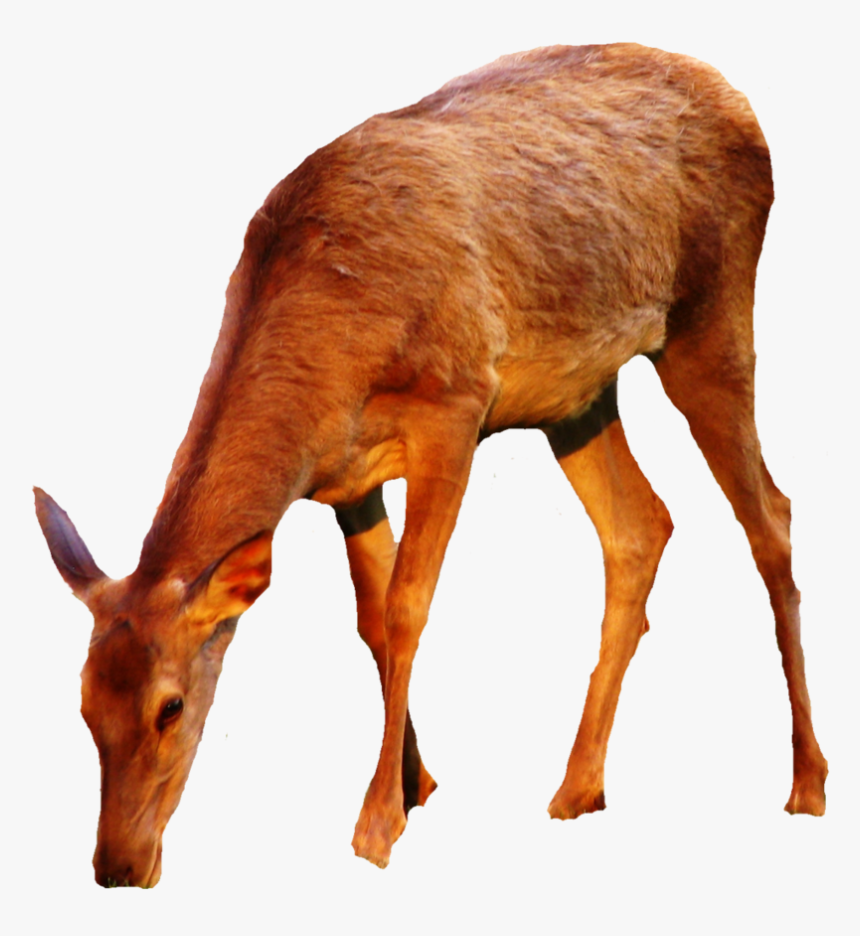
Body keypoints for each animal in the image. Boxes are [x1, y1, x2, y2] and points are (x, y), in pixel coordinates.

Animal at [35, 43, 828, 887]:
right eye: (83, 703)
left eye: (171, 706)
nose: (116, 866)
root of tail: (742, 104)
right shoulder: (347, 483)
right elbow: (371, 621)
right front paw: (417, 785)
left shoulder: (455, 402)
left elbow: (409, 605)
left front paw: (377, 822)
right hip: (577, 399)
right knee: (642, 525)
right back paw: (579, 785)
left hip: (709, 317)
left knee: (769, 513)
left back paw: (806, 780)